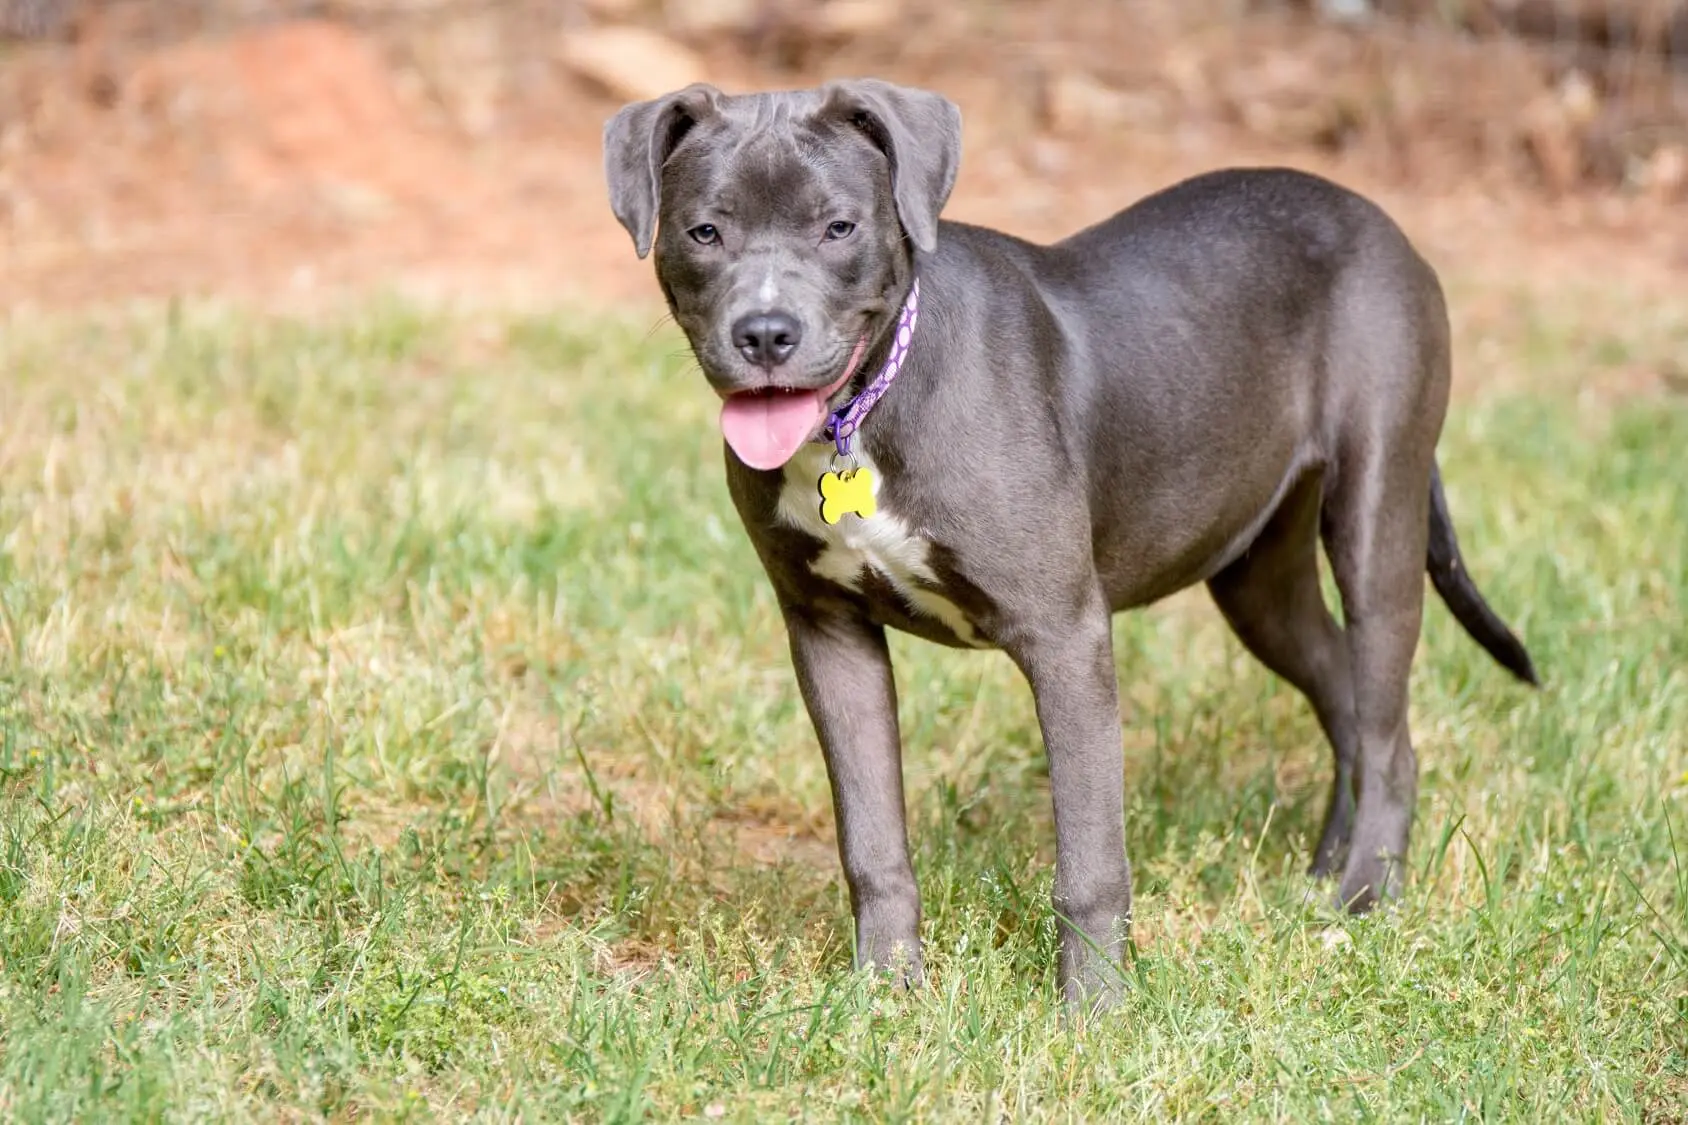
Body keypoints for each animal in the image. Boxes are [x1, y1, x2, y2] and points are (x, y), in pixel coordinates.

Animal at [600, 78, 1539, 1006]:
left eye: (839, 227)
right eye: (704, 232)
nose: (765, 333)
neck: (863, 414)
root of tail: (1374, 215)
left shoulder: (1064, 635)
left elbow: (1089, 857)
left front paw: (1095, 1013)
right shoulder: (828, 631)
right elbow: (872, 839)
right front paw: (885, 993)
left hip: (1377, 511)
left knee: (1385, 730)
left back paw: (1364, 896)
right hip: (1254, 574)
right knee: (1343, 693)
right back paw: (1321, 875)